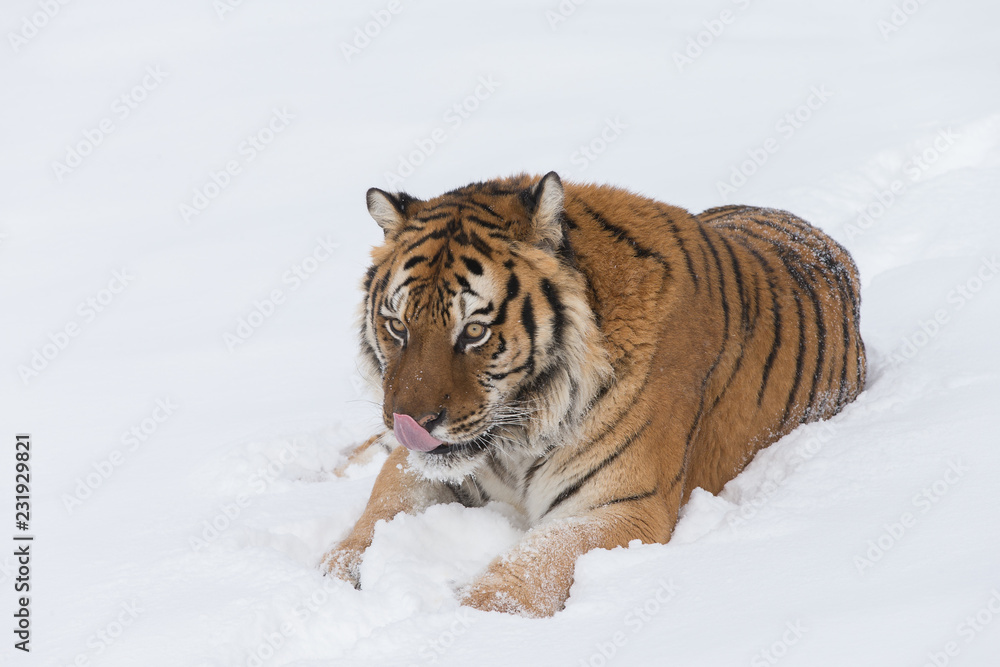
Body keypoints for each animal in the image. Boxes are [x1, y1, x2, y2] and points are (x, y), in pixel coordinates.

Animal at [321, 172, 866, 617]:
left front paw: (472, 621)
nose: (409, 423)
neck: (519, 433)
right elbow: (381, 508)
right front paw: (336, 571)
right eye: (397, 326)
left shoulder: (626, 505)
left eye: (474, 331)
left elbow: (532, 564)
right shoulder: (424, 465)